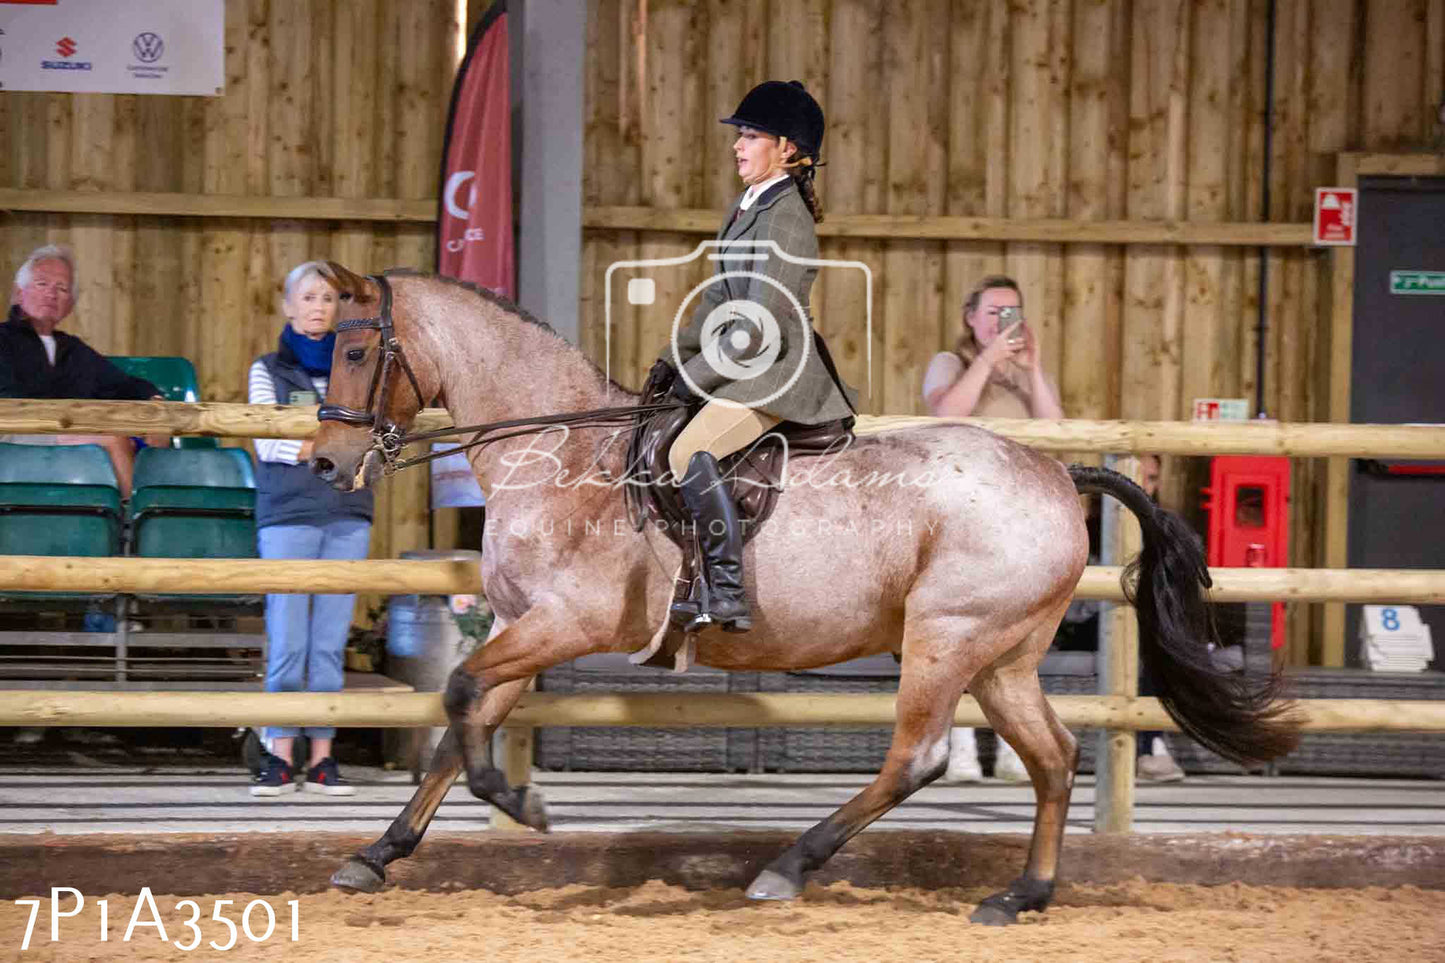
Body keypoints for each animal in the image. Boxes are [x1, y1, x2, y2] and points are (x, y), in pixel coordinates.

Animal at [307, 263, 1300, 925]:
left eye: (354, 348)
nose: (322, 462)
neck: (560, 452)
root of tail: (1058, 474)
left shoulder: (563, 623)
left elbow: (461, 698)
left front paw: (519, 804)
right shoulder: (520, 623)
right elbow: (457, 720)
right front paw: (377, 855)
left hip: (945, 636)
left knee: (917, 757)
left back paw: (788, 866)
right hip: (1001, 655)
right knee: (1052, 758)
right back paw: (1020, 894)